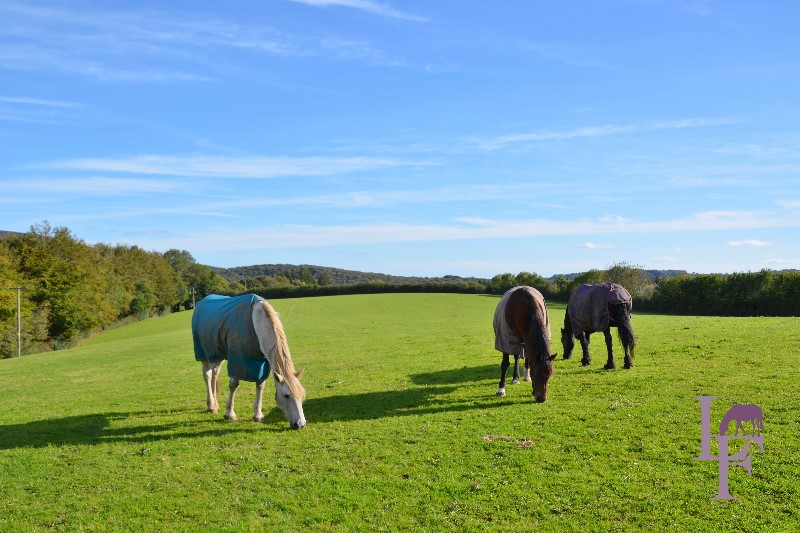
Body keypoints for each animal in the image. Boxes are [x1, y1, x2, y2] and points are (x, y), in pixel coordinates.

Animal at [192, 294, 308, 430]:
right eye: (286, 395)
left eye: (302, 395)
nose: (300, 424)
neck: (256, 321)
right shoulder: (236, 360)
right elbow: (233, 385)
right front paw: (229, 414)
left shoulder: (262, 363)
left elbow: (260, 385)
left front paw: (257, 415)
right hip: (203, 353)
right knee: (207, 375)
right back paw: (211, 406)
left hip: (217, 353)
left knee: (215, 373)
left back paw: (215, 404)